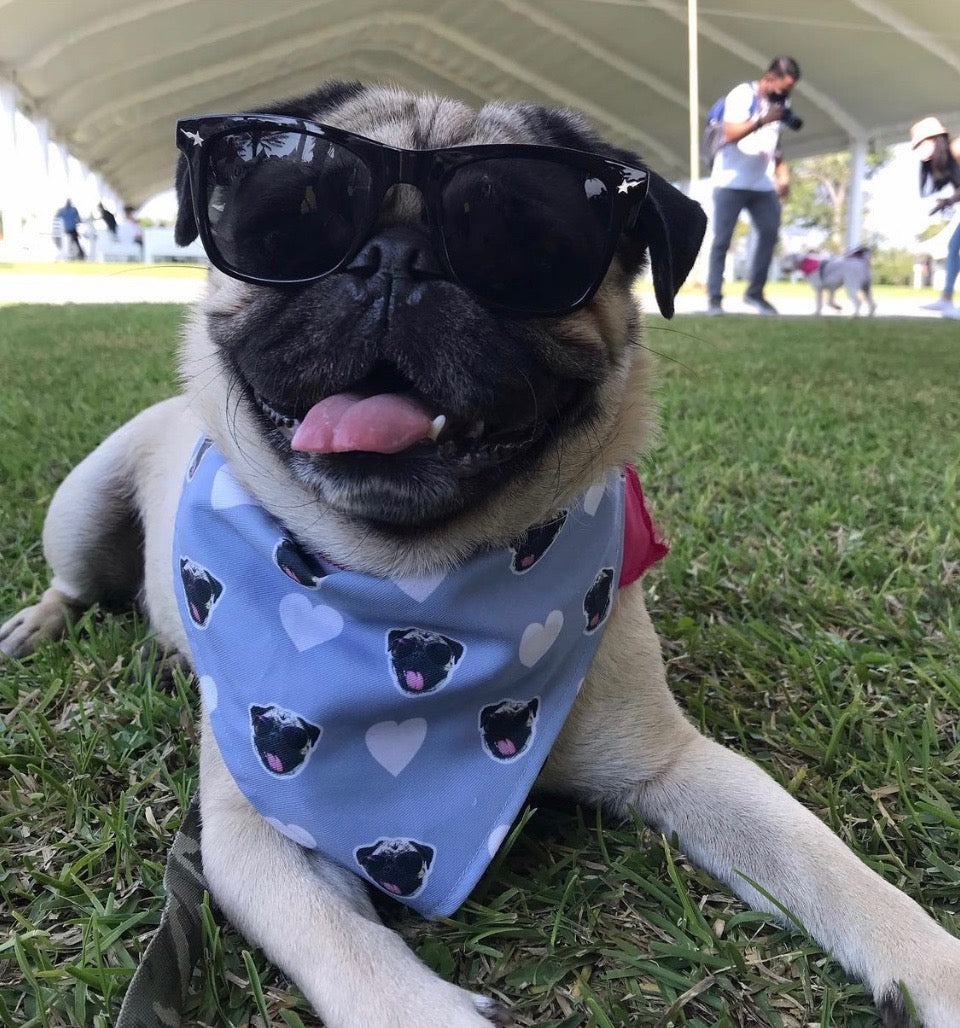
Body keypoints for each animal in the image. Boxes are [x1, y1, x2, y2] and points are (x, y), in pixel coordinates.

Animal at [1, 82, 960, 1028]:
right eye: (294, 220)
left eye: (522, 242)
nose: (394, 257)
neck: (409, 581)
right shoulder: (257, 833)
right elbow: (354, 955)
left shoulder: (673, 765)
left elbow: (821, 861)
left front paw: (932, 969)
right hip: (82, 506)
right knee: (74, 583)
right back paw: (36, 625)